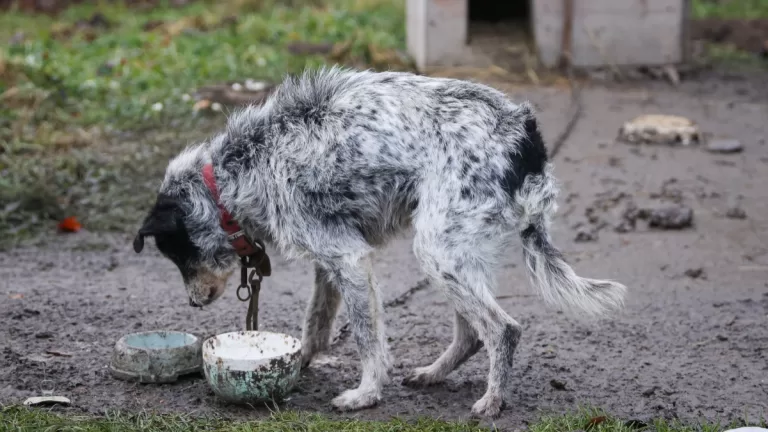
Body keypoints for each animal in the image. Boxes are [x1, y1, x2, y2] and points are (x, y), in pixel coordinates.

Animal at [132, 68, 624, 418]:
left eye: (178, 256)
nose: (193, 303)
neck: (234, 173)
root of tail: (525, 134)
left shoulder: (348, 259)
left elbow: (368, 338)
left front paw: (366, 393)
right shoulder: (329, 260)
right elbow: (316, 323)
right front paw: (300, 360)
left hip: (438, 251)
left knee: (503, 329)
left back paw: (492, 402)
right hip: (457, 254)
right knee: (472, 333)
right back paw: (433, 374)